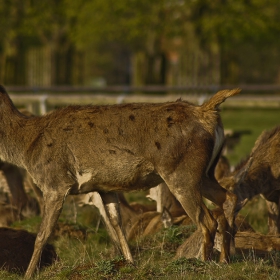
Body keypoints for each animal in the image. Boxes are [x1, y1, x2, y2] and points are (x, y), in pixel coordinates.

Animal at [0, 85, 240, 278]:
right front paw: (130, 264)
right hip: (205, 174)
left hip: (181, 173)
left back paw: (202, 264)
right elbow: (117, 225)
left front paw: (28, 274)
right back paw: (225, 259)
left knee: (206, 220)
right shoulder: (106, 188)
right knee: (229, 197)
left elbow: (43, 234)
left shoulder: (55, 183)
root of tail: (206, 112)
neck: (25, 148)